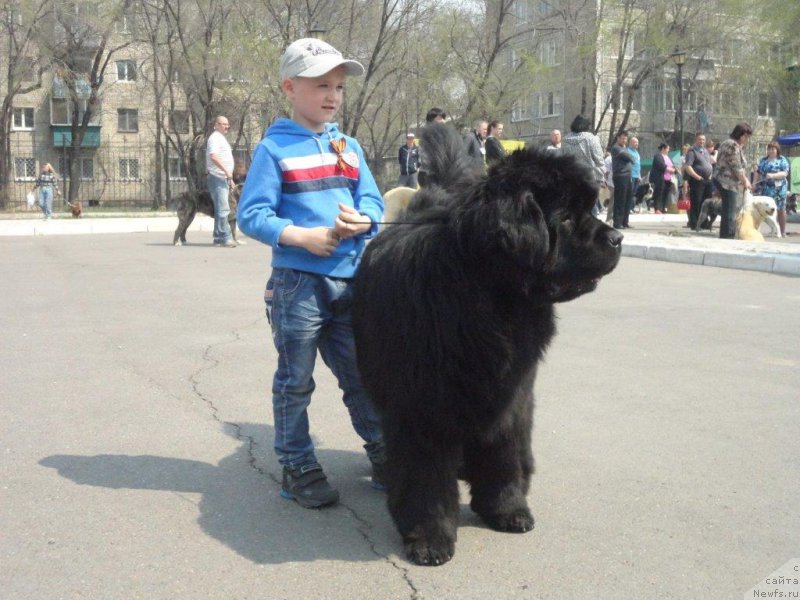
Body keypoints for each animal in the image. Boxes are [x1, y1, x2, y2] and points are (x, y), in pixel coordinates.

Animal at [354, 124, 620, 564]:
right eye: (565, 217)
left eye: (590, 209)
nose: (617, 237)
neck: (492, 304)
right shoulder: (423, 408)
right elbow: (426, 476)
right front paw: (430, 537)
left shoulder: (511, 394)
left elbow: (504, 454)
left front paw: (507, 509)